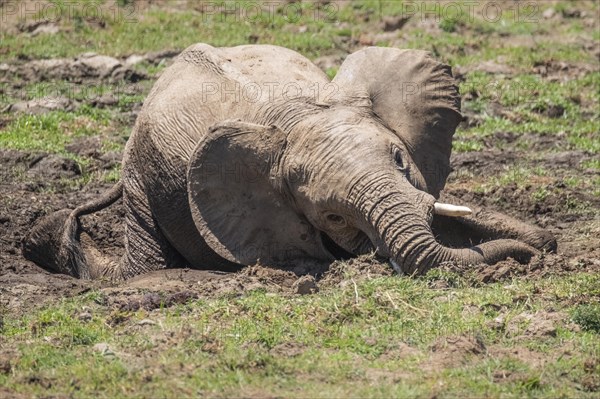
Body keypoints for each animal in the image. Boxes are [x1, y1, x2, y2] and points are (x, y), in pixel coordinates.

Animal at [23, 43, 556, 282]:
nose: (523, 261)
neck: (301, 113)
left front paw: (536, 242)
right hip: (142, 180)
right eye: (333, 217)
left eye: (402, 159)